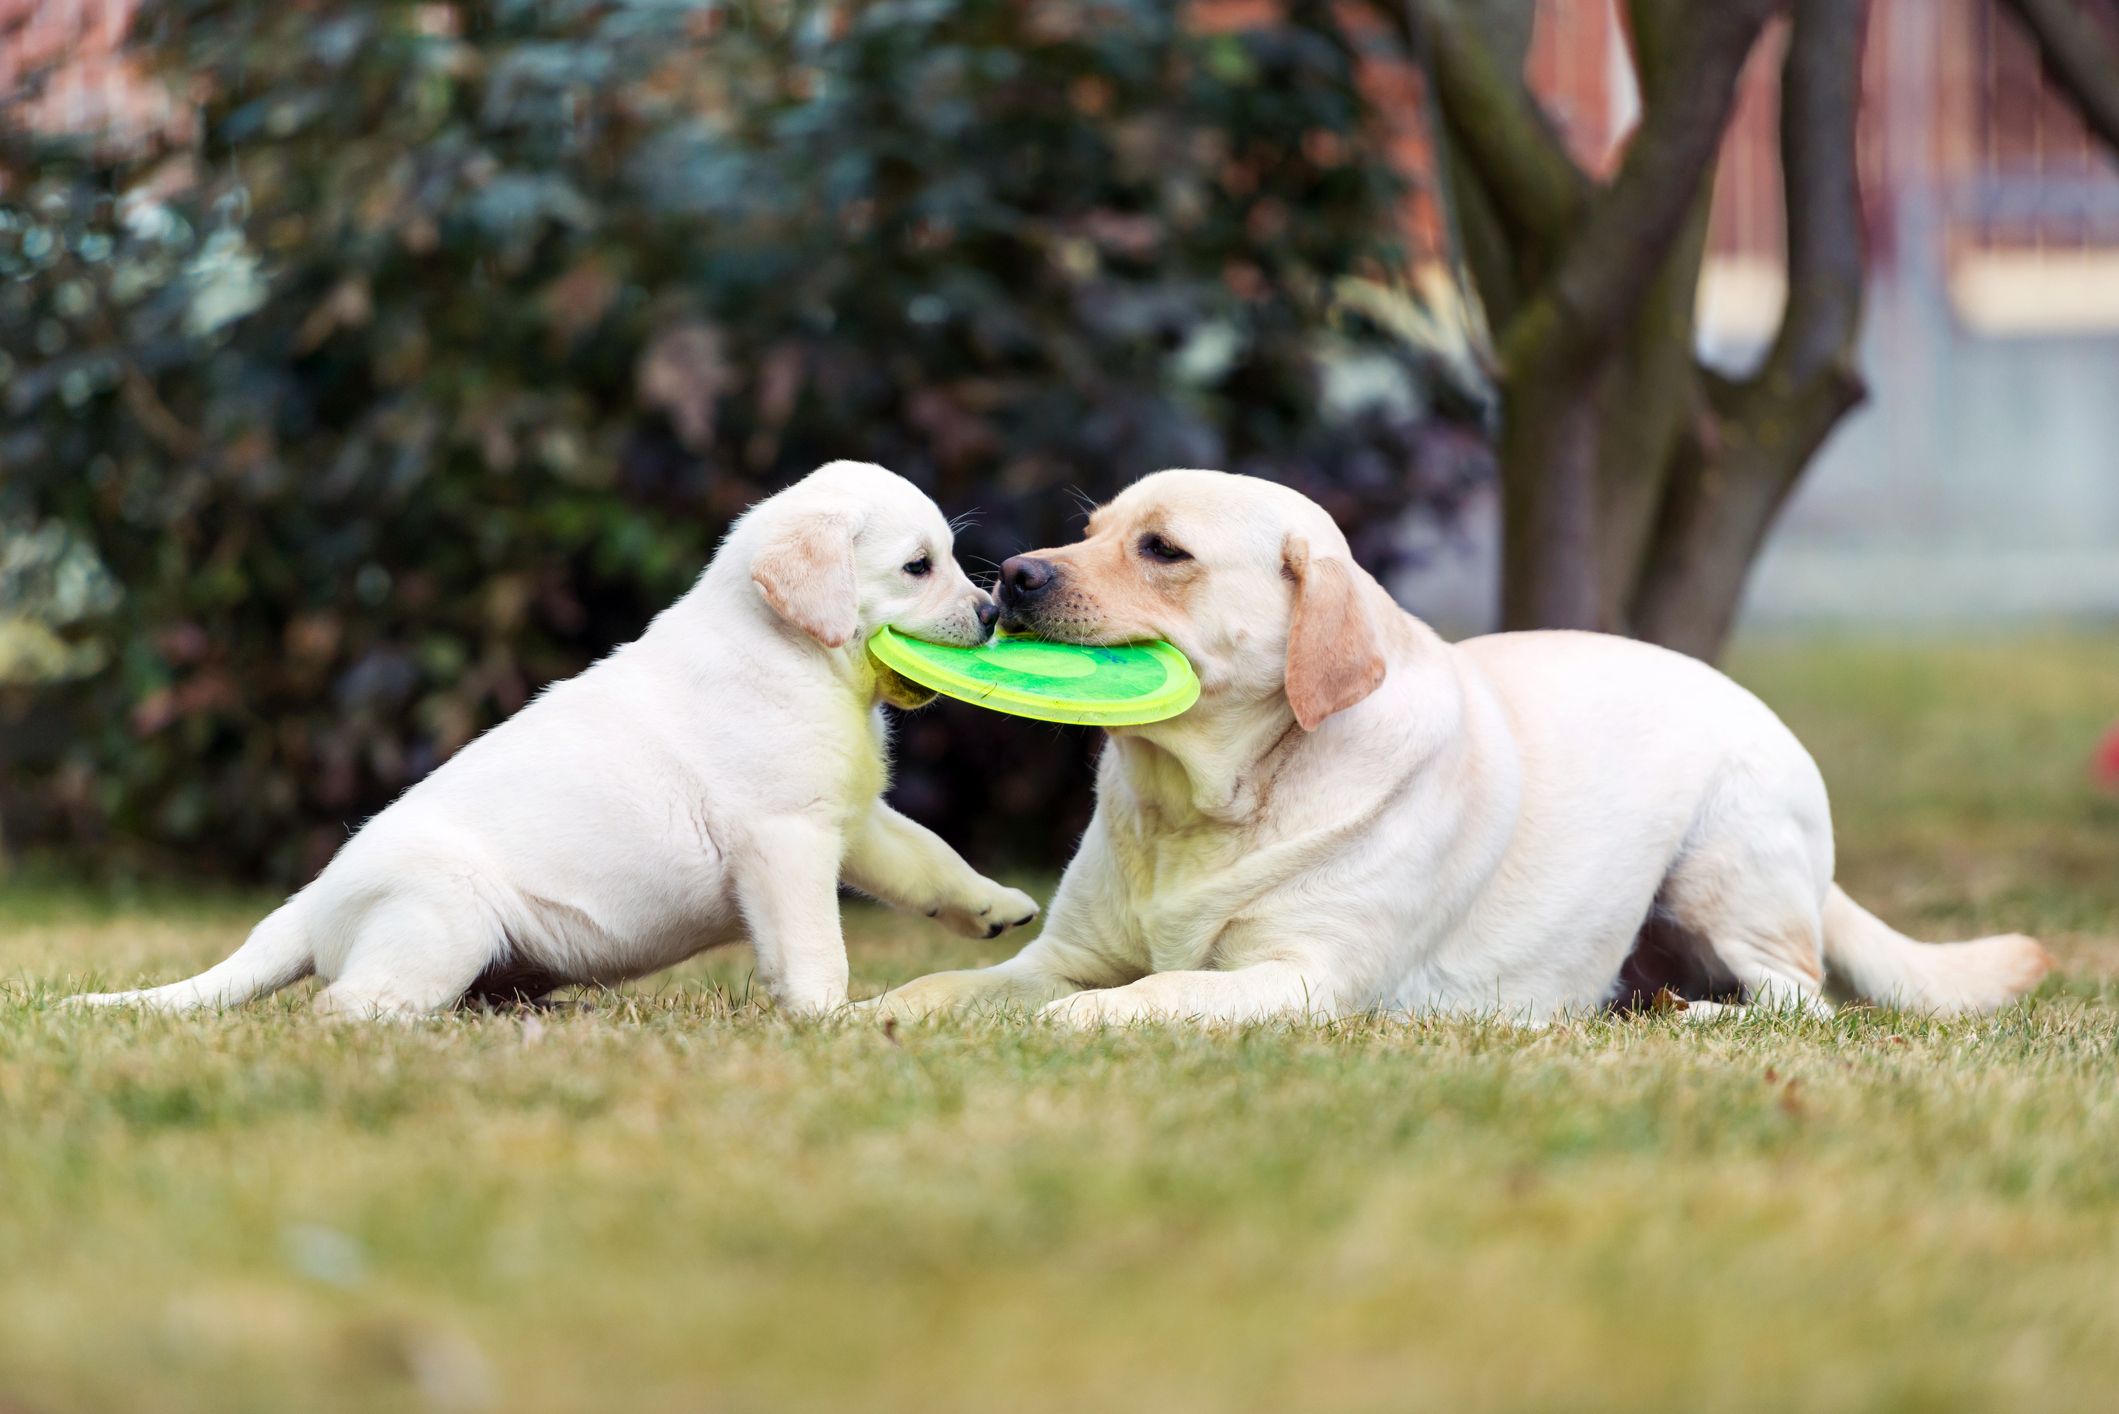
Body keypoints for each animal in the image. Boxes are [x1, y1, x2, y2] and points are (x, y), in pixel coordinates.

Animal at [78, 464, 1038, 1017]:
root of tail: (307, 906)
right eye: (918, 567)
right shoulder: (784, 842)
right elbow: (814, 947)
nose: (991, 613)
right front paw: (830, 1021)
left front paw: (994, 905)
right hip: (446, 921)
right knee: (346, 1006)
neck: (791, 652)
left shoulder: (853, 819)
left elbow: (929, 858)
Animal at [868, 470, 2042, 1021]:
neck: (1205, 802)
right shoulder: (1056, 957)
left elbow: (1152, 994)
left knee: (1798, 1000)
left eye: (1162, 550)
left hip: (1726, 865)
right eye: (1092, 528)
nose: (1014, 575)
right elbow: (941, 991)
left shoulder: (1305, 979)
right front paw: (869, 1015)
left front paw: (1092, 1023)